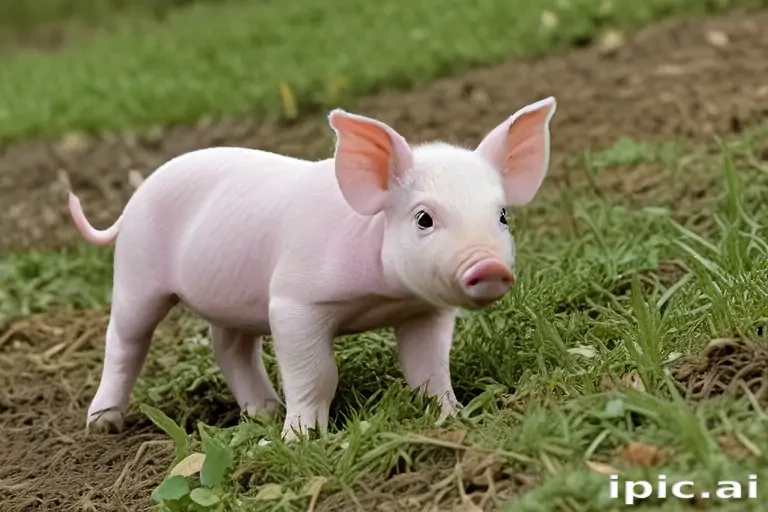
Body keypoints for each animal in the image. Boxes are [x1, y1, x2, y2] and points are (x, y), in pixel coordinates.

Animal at [68, 97, 557, 440]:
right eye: (424, 218)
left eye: (501, 216)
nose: (489, 265)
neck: (383, 296)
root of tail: (132, 202)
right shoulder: (293, 301)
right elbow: (317, 374)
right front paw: (298, 439)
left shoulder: (423, 310)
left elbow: (429, 370)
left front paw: (451, 417)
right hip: (136, 274)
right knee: (125, 340)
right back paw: (104, 424)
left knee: (228, 346)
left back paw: (264, 412)